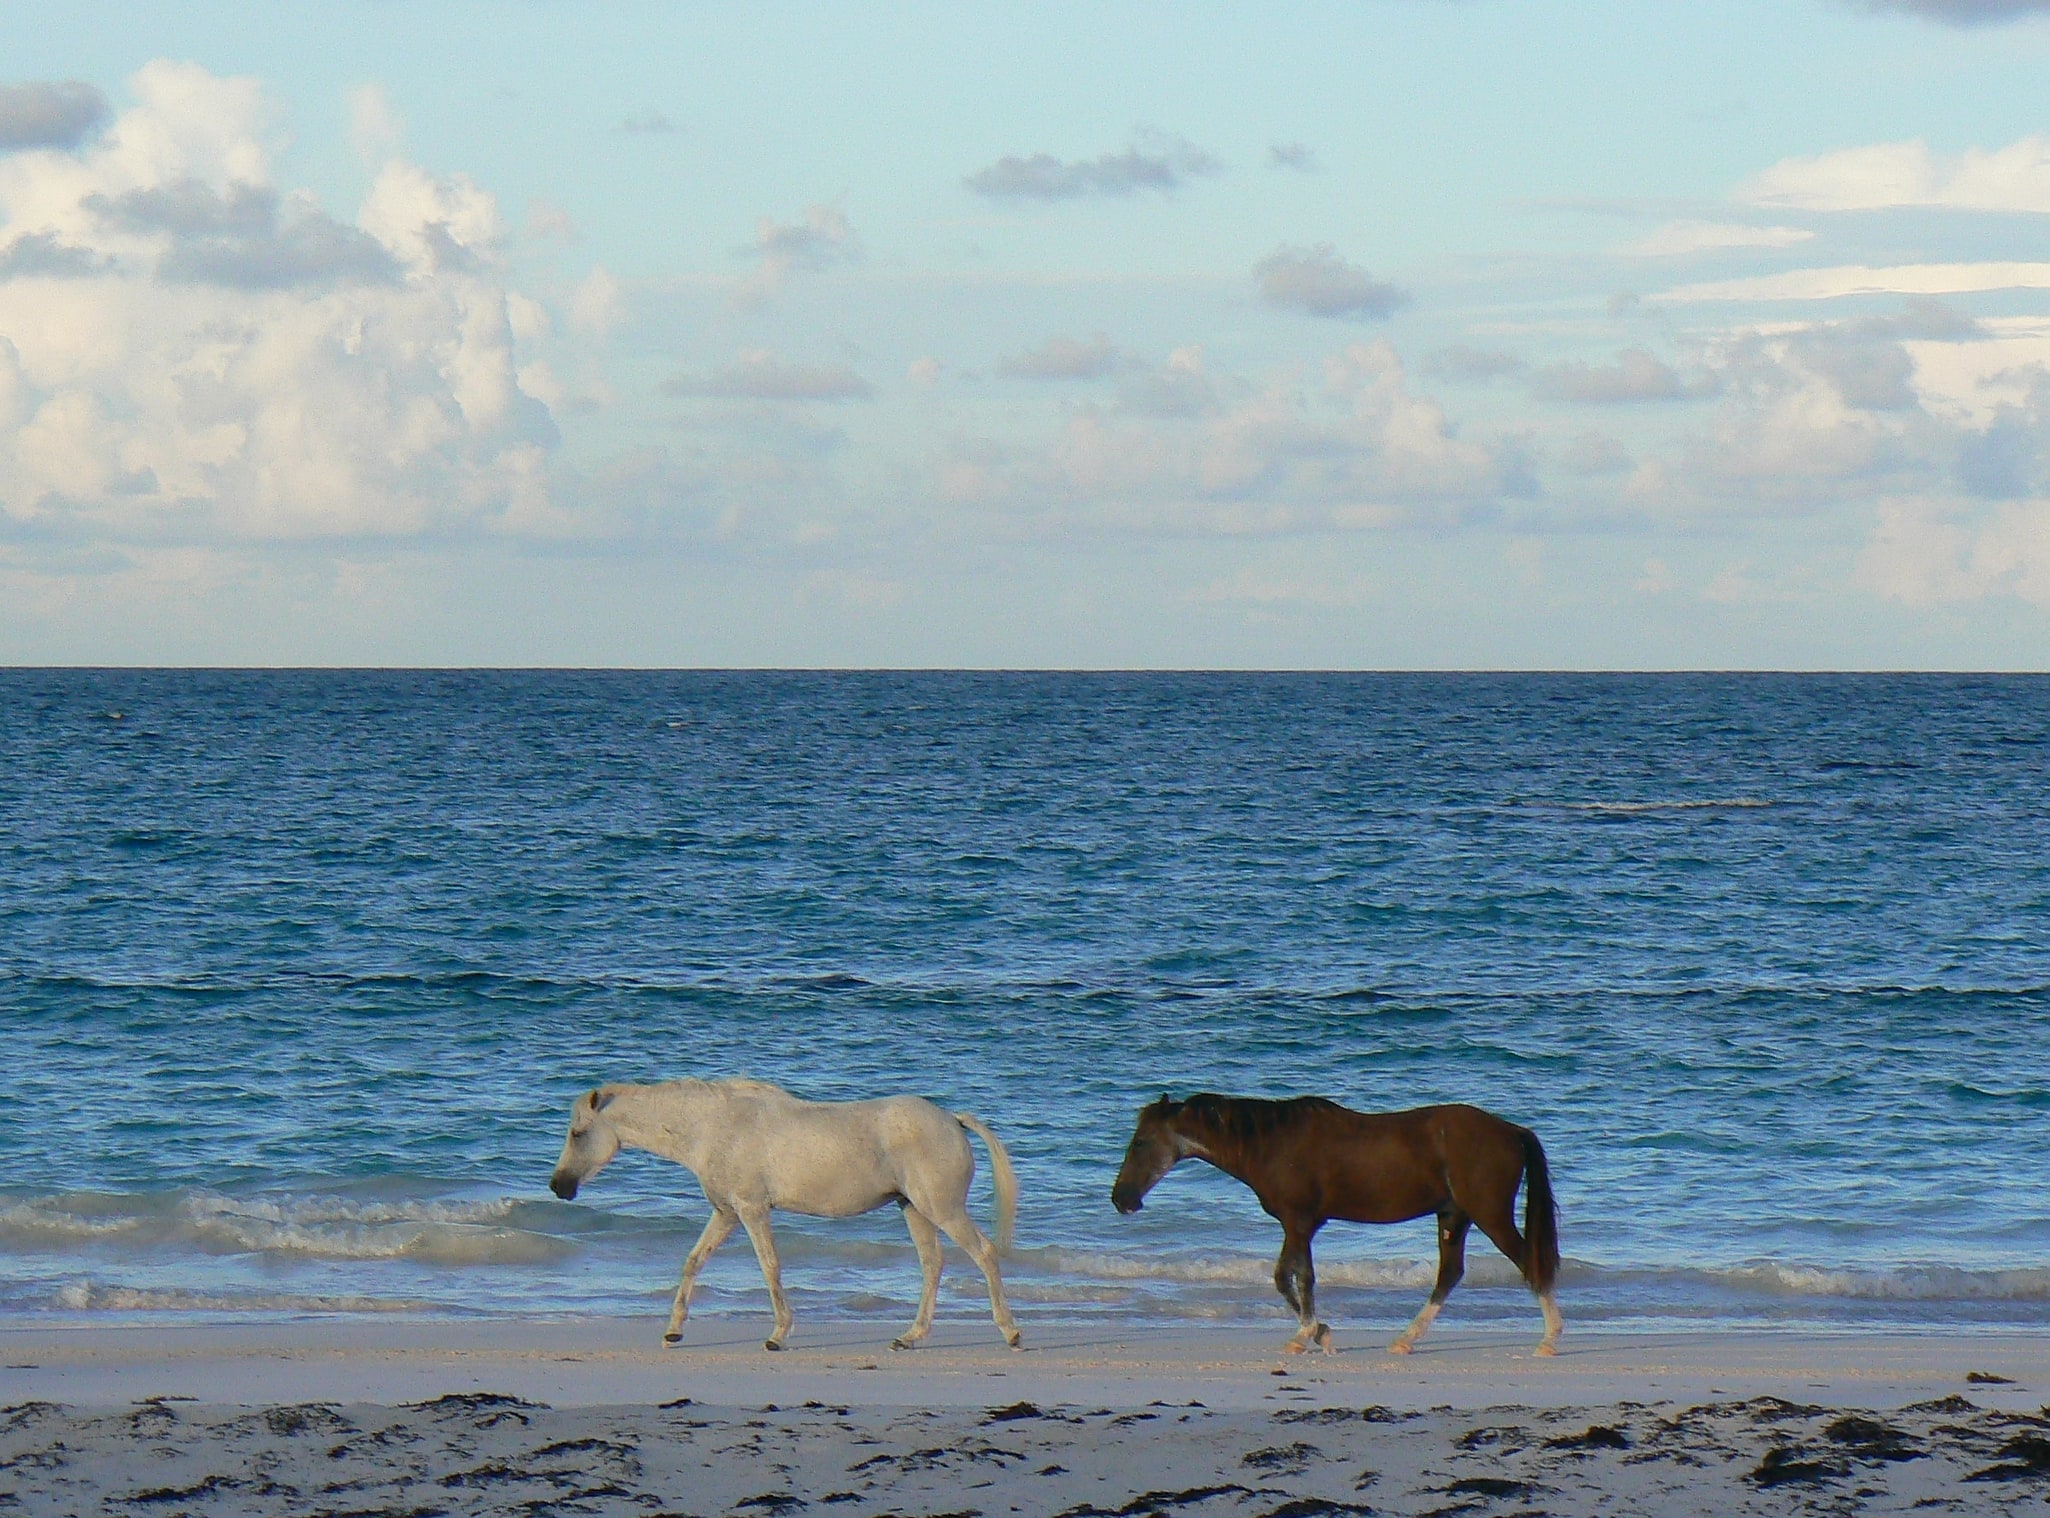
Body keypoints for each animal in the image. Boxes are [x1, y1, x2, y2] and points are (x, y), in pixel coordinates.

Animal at [549, 1083, 1020, 1353]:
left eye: (577, 1133)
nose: (558, 1187)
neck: (713, 1126)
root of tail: (952, 1119)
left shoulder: (752, 1210)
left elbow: (770, 1267)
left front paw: (778, 1334)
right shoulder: (725, 1214)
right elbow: (693, 1262)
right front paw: (673, 1332)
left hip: (941, 1209)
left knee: (983, 1252)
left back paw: (1010, 1332)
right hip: (914, 1209)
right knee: (932, 1264)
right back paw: (910, 1337)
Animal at [1115, 1099, 1558, 1353]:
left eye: (1140, 1142)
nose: (1122, 1199)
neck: (1273, 1143)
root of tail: (1511, 1131)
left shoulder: (1299, 1222)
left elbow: (1301, 1277)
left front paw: (1308, 1333)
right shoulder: (1298, 1226)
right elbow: (1285, 1276)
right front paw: (1320, 1332)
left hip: (1489, 1214)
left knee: (1528, 1262)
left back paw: (1550, 1339)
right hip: (1454, 1216)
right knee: (1450, 1274)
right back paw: (1405, 1340)